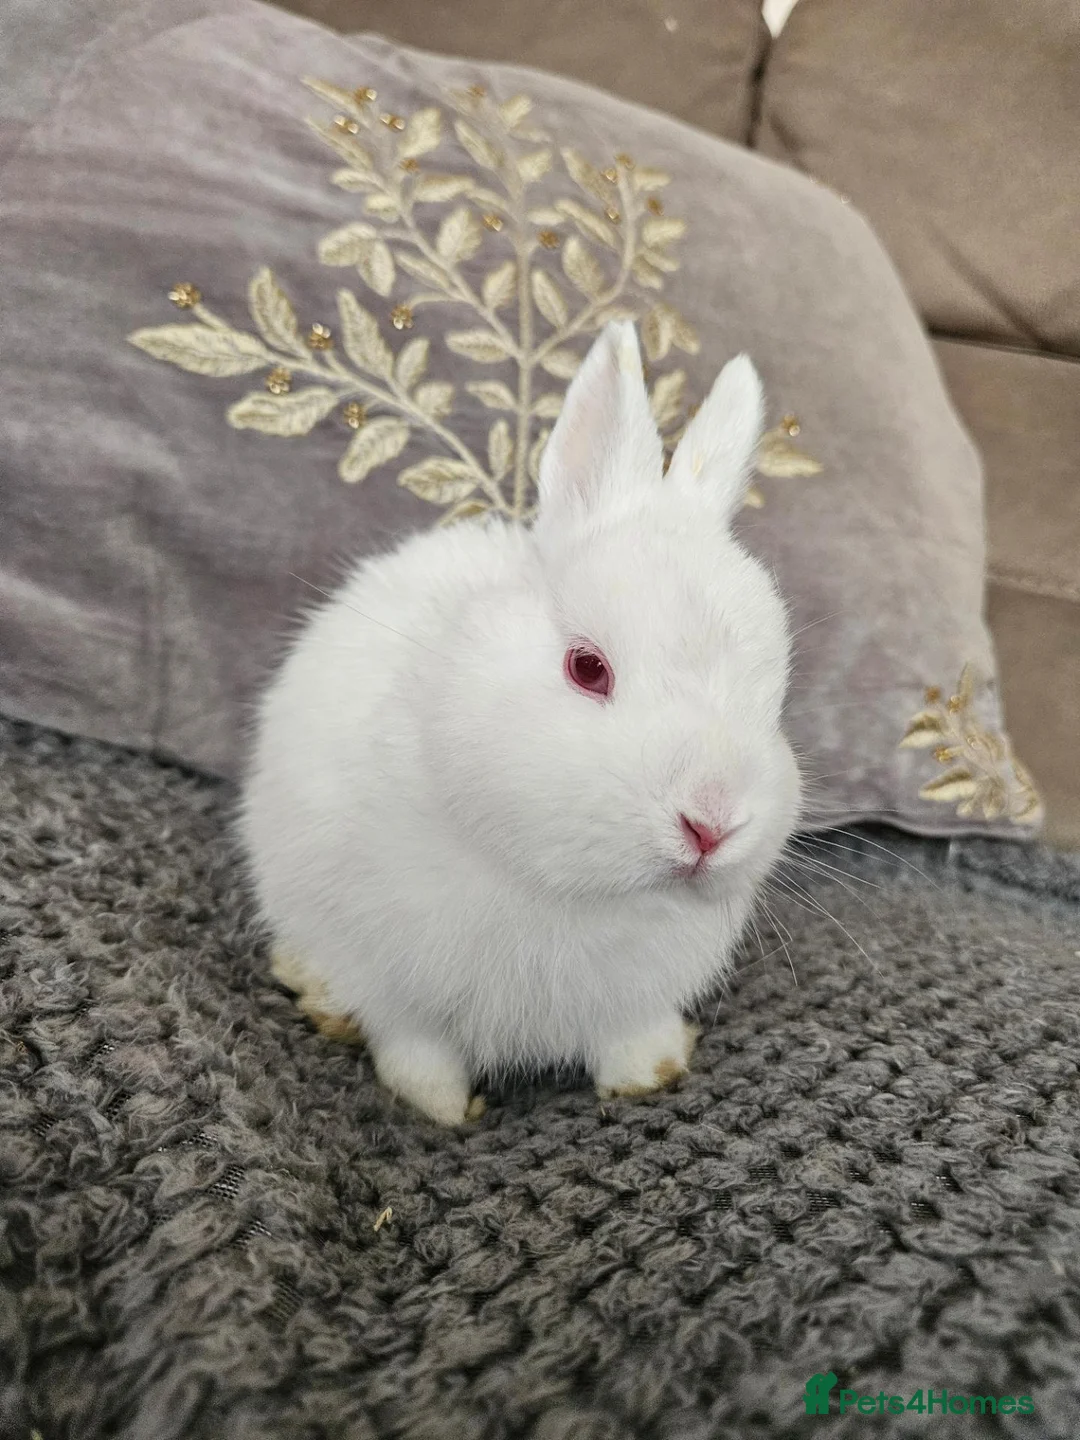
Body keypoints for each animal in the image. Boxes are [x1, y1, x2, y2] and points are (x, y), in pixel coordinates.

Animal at [239, 319, 801, 1125]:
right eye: (587, 668)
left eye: (775, 701)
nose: (711, 824)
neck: (567, 889)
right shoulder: (395, 982)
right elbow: (414, 1049)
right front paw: (441, 1109)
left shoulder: (632, 999)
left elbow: (630, 1038)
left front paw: (652, 1075)